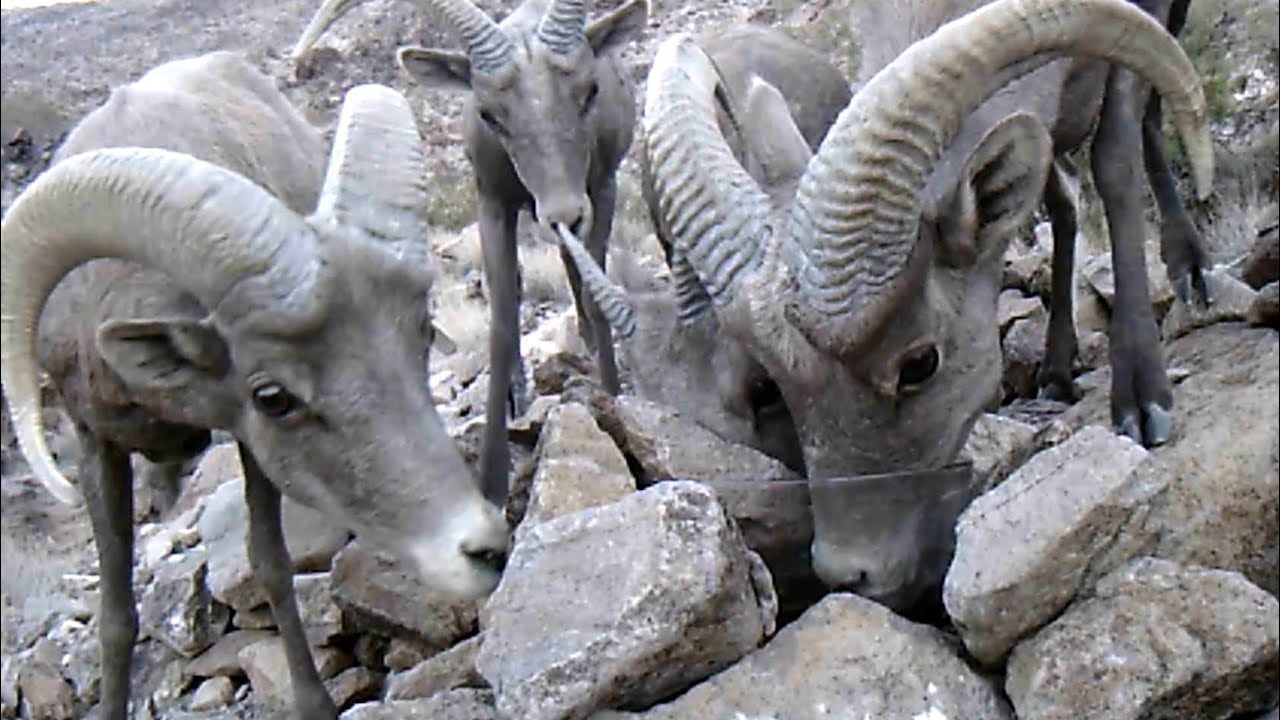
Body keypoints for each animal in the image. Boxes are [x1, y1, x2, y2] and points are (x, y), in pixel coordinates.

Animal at [0, 51, 508, 720]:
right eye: (273, 396)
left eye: (420, 334)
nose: (487, 550)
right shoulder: (95, 443)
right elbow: (116, 615)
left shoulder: (250, 449)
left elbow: (270, 566)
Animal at [290, 0, 649, 505]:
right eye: (489, 114)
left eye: (590, 90)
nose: (562, 213)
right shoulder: (493, 203)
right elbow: (500, 323)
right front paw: (492, 480)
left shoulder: (601, 188)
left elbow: (594, 290)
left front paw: (615, 399)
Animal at [640, 0, 1214, 603]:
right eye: (776, 386)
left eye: (919, 363)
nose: (852, 574)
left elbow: (1117, 159)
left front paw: (1144, 404)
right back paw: (1058, 371)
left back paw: (1191, 267)